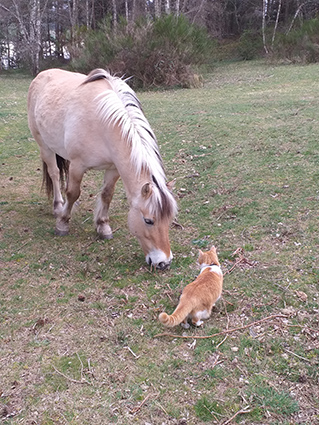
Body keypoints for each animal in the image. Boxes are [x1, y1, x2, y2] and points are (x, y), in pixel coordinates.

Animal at [27, 68, 178, 270]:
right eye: (148, 221)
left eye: (169, 220)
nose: (164, 262)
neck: (102, 123)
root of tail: (42, 74)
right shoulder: (77, 165)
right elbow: (73, 192)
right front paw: (63, 224)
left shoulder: (114, 168)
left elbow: (107, 195)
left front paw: (103, 226)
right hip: (44, 146)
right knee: (55, 174)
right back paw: (58, 207)